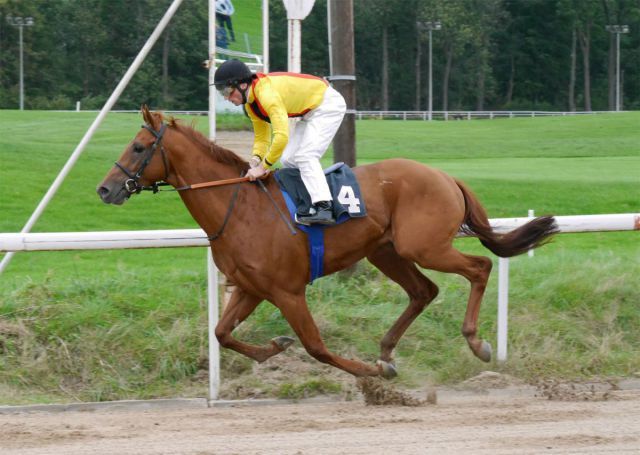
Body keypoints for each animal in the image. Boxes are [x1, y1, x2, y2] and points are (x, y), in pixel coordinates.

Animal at [97, 106, 556, 378]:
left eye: (138, 147)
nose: (105, 189)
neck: (238, 206)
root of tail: (446, 176)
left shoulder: (287, 290)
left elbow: (316, 346)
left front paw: (370, 374)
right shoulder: (250, 287)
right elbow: (221, 333)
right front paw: (273, 348)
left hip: (423, 247)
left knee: (480, 267)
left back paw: (475, 342)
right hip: (385, 251)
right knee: (424, 291)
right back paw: (387, 350)